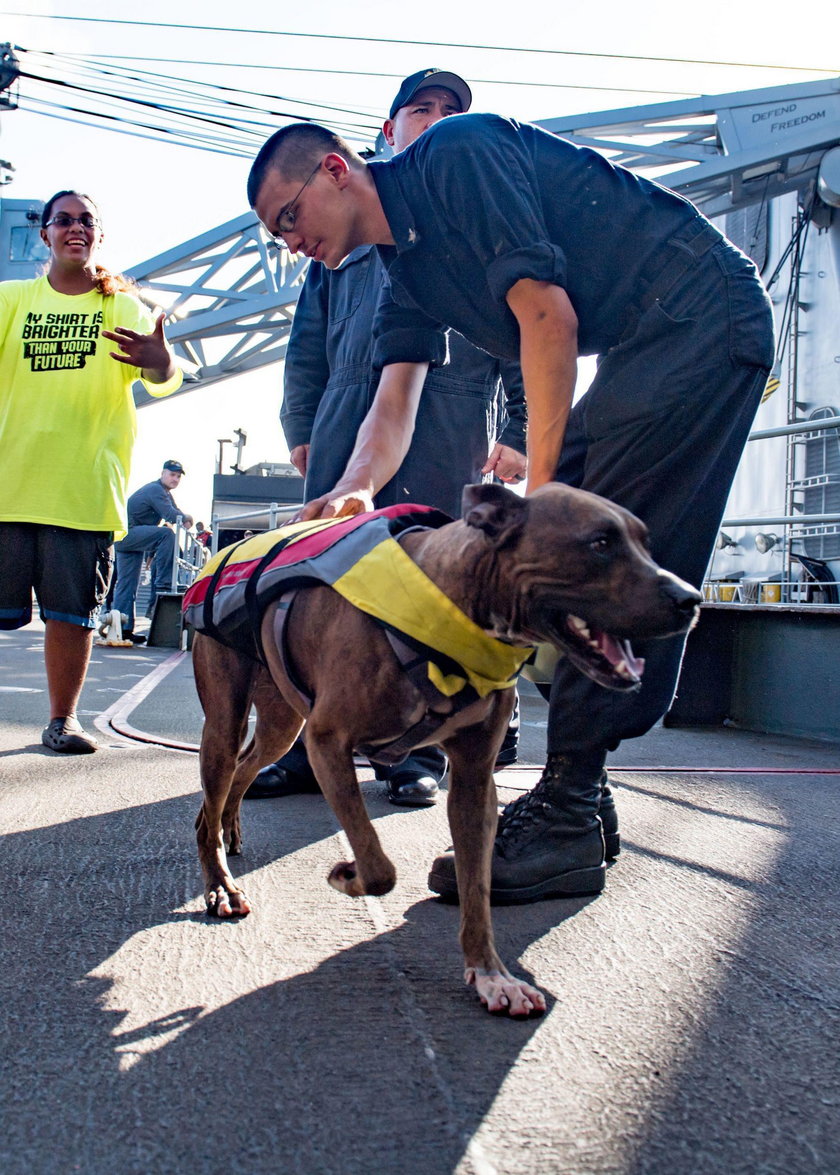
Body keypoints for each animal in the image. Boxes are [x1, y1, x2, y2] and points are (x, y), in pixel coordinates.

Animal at [192, 486, 704, 1019]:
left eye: (646, 543)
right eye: (600, 543)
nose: (691, 599)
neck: (455, 604)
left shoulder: (475, 780)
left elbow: (476, 887)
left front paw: (492, 975)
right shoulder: (327, 742)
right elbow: (378, 868)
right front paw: (347, 876)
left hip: (282, 724)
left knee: (242, 772)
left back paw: (228, 828)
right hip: (229, 723)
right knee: (213, 794)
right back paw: (220, 883)